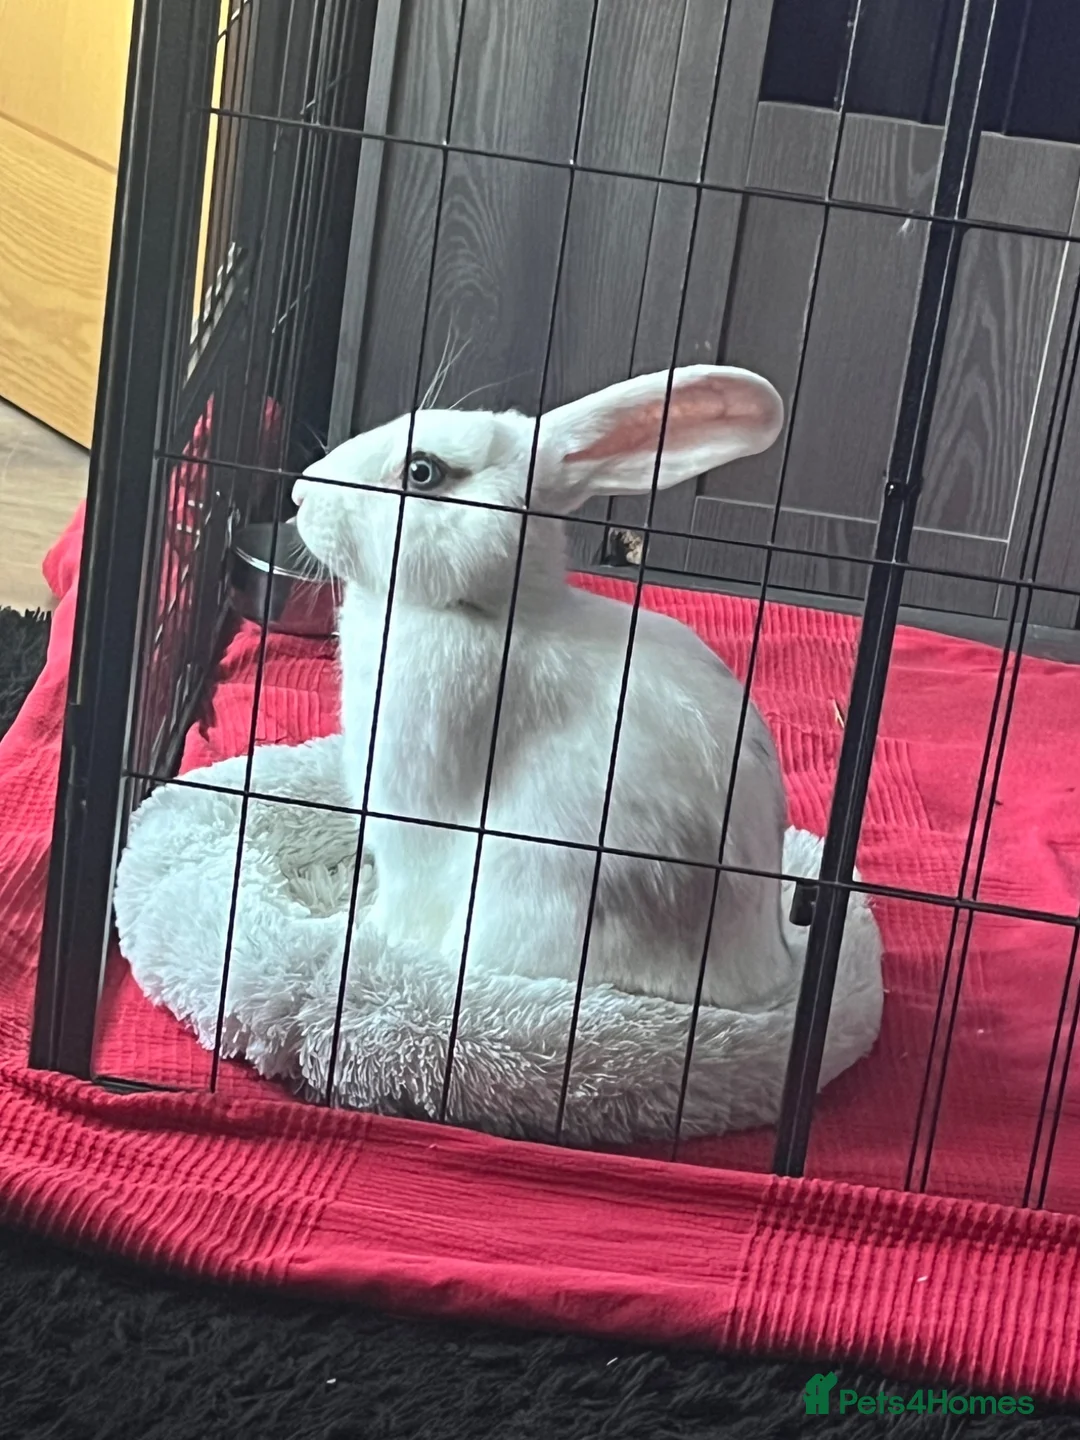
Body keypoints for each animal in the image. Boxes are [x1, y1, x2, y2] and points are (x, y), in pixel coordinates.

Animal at [293, 364, 796, 1013]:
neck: (489, 610)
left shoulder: (411, 814)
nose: (300, 494)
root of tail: (759, 984)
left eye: (423, 472)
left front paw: (362, 930)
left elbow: (404, 900)